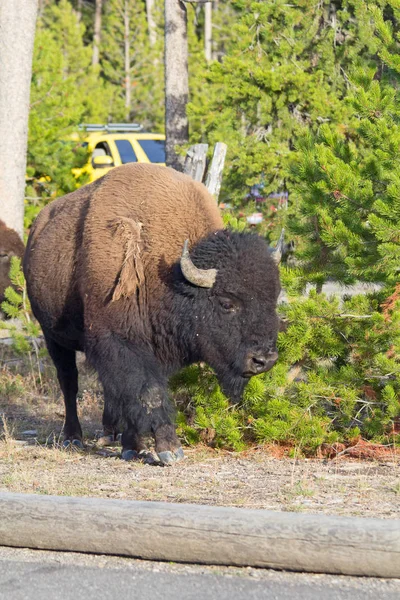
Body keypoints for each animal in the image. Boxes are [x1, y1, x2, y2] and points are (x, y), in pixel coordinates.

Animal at [24, 164, 282, 464]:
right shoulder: (122, 343)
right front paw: (171, 449)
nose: (264, 360)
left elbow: (134, 394)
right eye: (227, 303)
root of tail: (37, 227)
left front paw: (131, 446)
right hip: (53, 336)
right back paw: (72, 437)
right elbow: (150, 393)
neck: (171, 276)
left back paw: (109, 434)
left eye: (274, 299)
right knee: (69, 382)